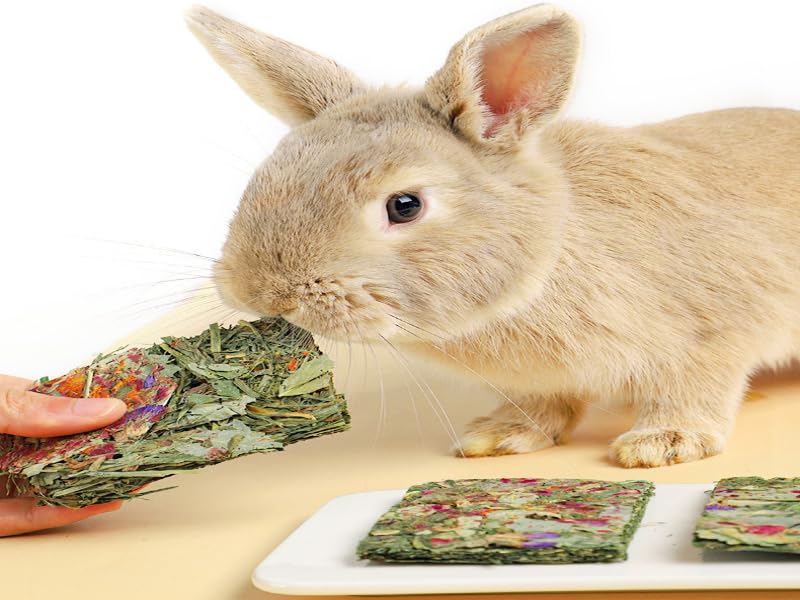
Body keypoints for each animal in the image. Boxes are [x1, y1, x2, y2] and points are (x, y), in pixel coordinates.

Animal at [186, 4, 800, 467]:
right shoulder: (543, 379)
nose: (262, 293)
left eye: (404, 206)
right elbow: (542, 406)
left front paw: (661, 445)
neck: (543, 260)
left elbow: (695, 387)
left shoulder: (715, 331)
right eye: (267, 174)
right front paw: (498, 436)